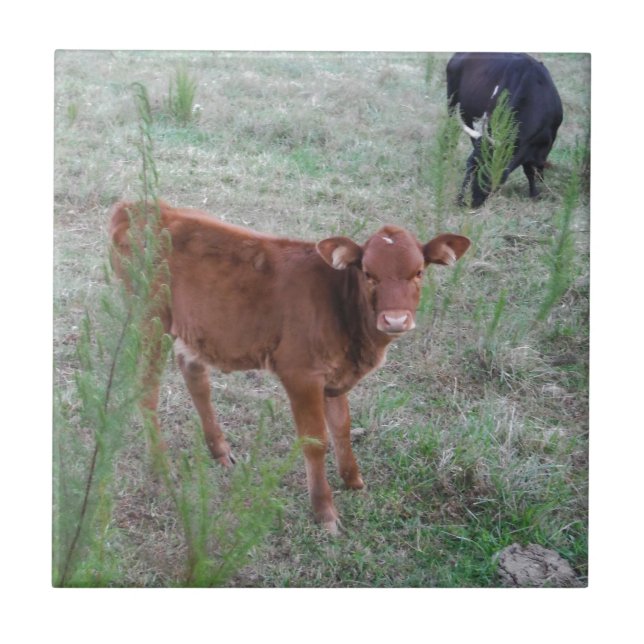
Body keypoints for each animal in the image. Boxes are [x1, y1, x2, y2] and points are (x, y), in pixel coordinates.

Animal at [110, 200, 470, 534]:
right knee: (146, 390)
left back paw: (220, 450)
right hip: (151, 321)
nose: (395, 320)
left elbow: (342, 427)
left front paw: (354, 481)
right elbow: (315, 441)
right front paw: (325, 511)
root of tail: (137, 206)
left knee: (195, 376)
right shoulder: (300, 374)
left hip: (193, 328)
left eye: (419, 272)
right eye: (368, 273)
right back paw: (161, 468)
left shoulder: (335, 375)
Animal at [446, 52, 563, 207]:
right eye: (468, 165)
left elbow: (534, 169)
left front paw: (536, 192)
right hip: (452, 107)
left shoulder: (548, 141)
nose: (464, 200)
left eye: (487, 168)